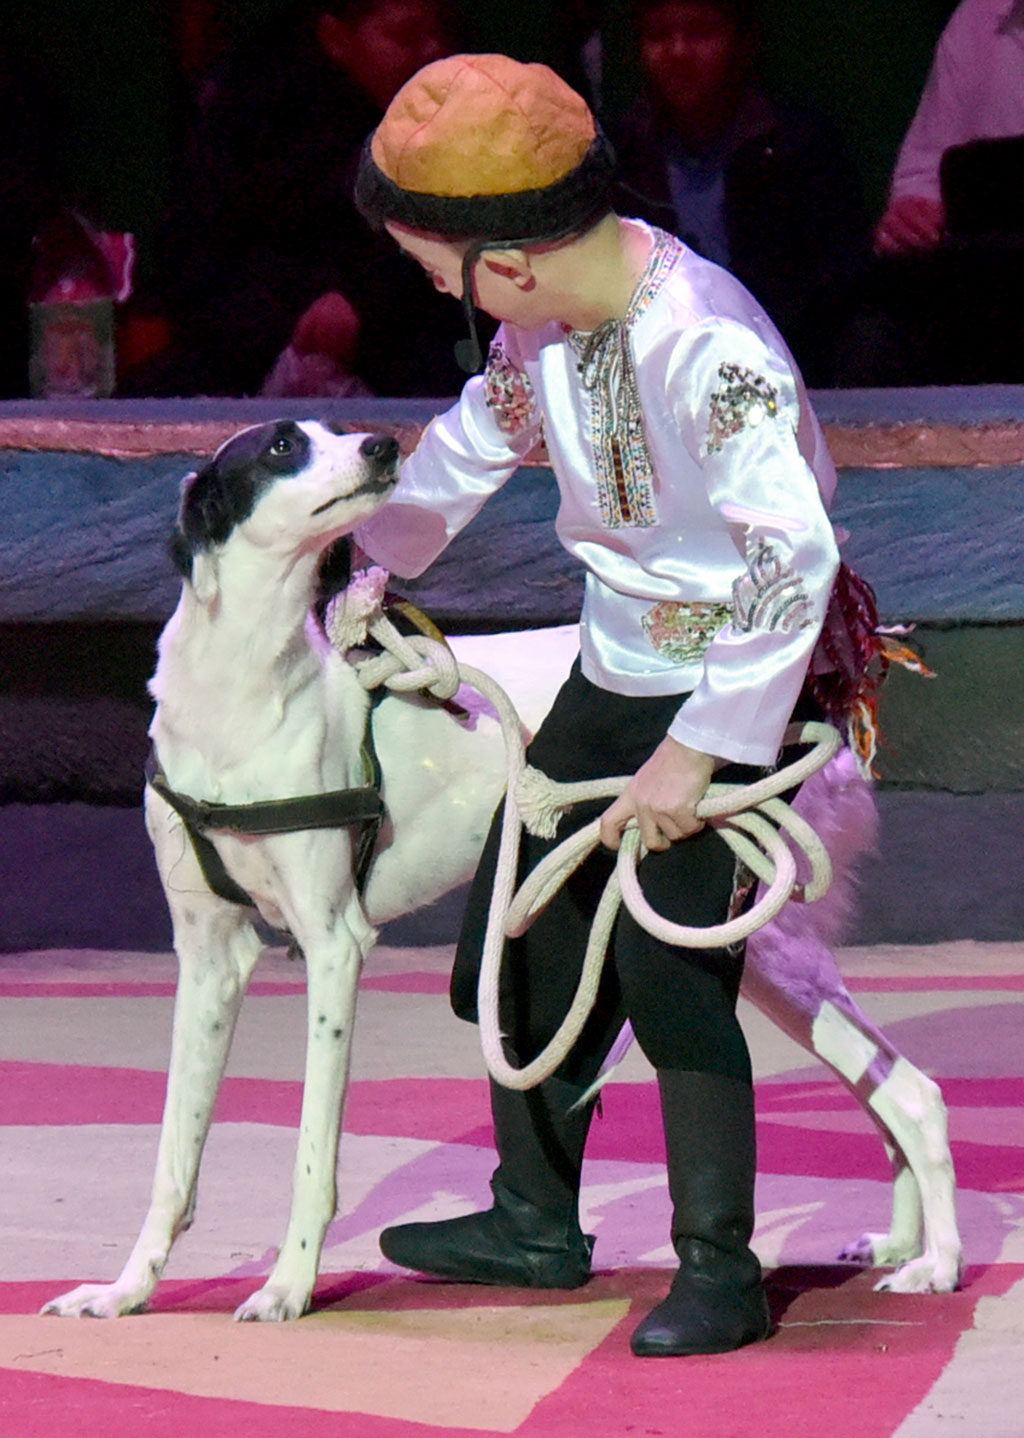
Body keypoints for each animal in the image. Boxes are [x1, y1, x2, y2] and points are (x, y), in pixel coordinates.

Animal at [44, 419, 966, 1322]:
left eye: (328, 430)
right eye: (283, 445)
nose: (383, 445)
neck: (243, 691)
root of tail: (823, 699)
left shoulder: (335, 947)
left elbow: (311, 1154)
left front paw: (287, 1287)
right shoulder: (209, 957)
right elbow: (174, 1153)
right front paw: (125, 1290)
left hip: (735, 926)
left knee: (909, 1093)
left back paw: (939, 1266)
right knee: (895, 1092)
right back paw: (902, 1248)